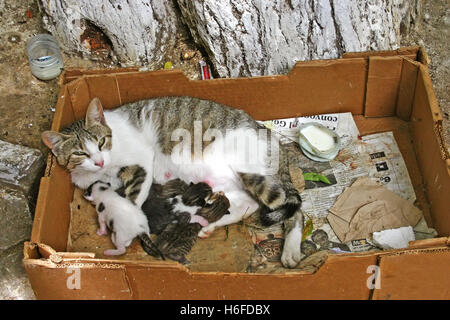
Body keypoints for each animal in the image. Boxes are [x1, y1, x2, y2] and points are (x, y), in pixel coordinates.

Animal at [42, 95, 304, 268]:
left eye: (101, 142)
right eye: (79, 153)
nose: (98, 161)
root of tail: (273, 138)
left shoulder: (141, 161)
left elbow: (133, 200)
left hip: (252, 173)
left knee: (295, 208)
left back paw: (291, 249)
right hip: (227, 185)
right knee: (247, 204)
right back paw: (207, 225)